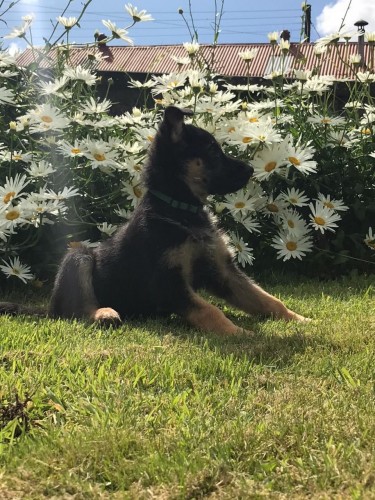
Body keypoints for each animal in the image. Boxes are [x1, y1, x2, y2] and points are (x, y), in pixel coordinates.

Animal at [0, 106, 308, 332]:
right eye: (211, 151)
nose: (250, 170)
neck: (181, 211)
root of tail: (49, 308)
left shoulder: (222, 271)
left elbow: (267, 299)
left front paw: (302, 321)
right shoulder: (168, 283)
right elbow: (209, 309)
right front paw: (238, 333)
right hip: (78, 257)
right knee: (76, 310)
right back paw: (104, 313)